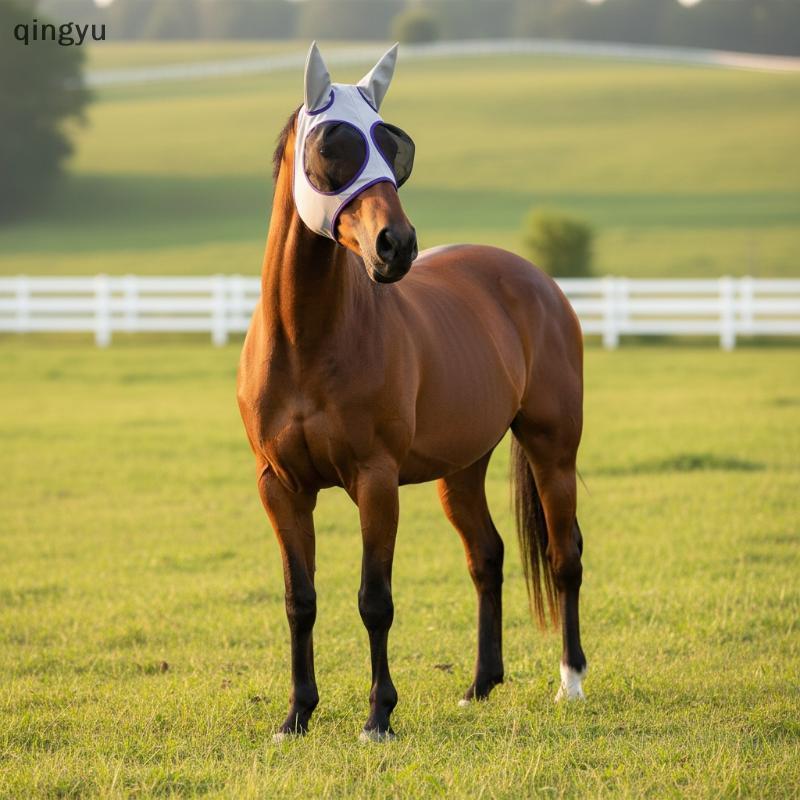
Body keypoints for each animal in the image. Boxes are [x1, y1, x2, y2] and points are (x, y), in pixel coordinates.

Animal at [237, 42, 587, 742]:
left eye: (393, 146)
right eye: (331, 146)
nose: (395, 245)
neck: (306, 340)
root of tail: (535, 280)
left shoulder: (375, 481)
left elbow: (374, 600)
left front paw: (378, 716)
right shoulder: (279, 487)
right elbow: (299, 600)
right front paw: (297, 716)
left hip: (552, 452)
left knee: (565, 557)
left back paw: (570, 682)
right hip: (463, 469)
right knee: (487, 556)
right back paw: (480, 686)